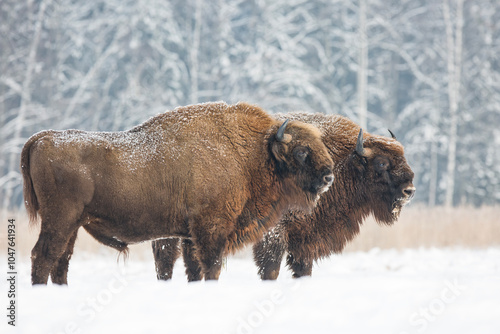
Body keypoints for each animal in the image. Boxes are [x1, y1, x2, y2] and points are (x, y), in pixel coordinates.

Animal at [21, 102, 334, 284]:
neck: (250, 152)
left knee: (61, 260)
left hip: (72, 225)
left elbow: (193, 268)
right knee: (43, 256)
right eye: (301, 151)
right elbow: (211, 266)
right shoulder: (211, 228)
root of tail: (42, 138)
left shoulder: (189, 235)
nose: (328, 175)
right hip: (60, 220)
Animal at [151, 113, 414, 282]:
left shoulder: (306, 238)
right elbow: (270, 268)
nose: (409, 190)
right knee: (165, 260)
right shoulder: (274, 233)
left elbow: (303, 268)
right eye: (382, 162)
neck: (345, 161)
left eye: (403, 157)